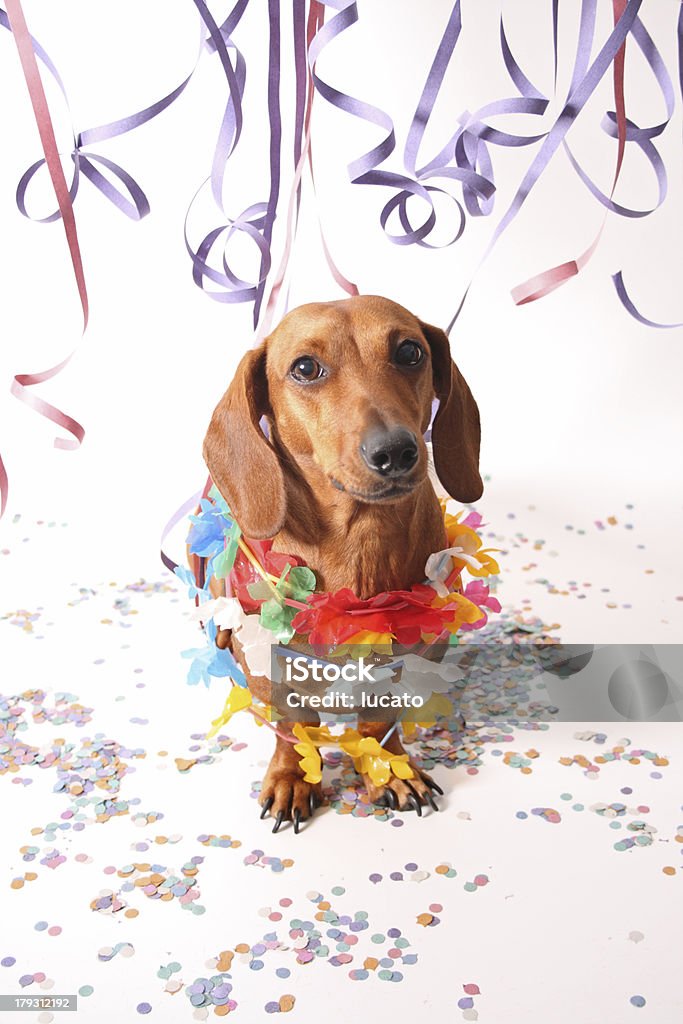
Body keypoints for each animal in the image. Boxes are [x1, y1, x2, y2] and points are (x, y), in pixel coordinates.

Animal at [202, 294, 481, 831]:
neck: (360, 546)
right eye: (305, 368)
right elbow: (294, 726)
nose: (395, 451)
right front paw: (293, 775)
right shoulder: (271, 663)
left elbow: (379, 718)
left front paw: (387, 766)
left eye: (410, 352)